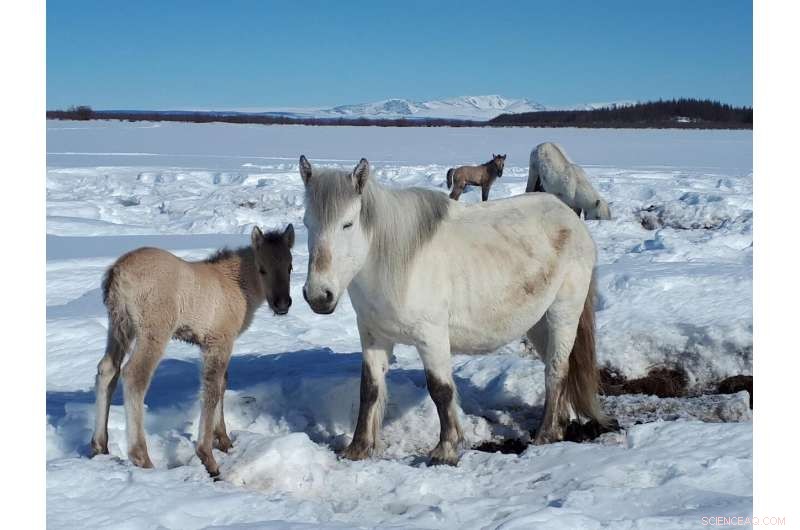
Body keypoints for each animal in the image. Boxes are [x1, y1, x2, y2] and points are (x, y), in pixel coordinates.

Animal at [90, 224, 295, 477]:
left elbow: (221, 383)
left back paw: (99, 445)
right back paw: (142, 457)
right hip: (153, 332)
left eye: (290, 266)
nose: (282, 304)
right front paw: (208, 457)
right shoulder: (219, 341)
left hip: (119, 326)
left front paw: (224, 440)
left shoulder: (210, 344)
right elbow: (211, 390)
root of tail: (117, 272)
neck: (239, 286)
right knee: (134, 375)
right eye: (262, 269)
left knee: (107, 369)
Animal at [298, 155, 609, 465]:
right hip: (537, 322)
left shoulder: (431, 336)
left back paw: (545, 434)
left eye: (347, 224)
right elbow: (369, 389)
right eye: (306, 223)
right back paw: (559, 425)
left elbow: (440, 390)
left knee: (557, 368)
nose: (318, 295)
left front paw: (445, 450)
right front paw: (358, 448)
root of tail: (571, 218)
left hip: (562, 312)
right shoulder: (374, 336)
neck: (395, 262)